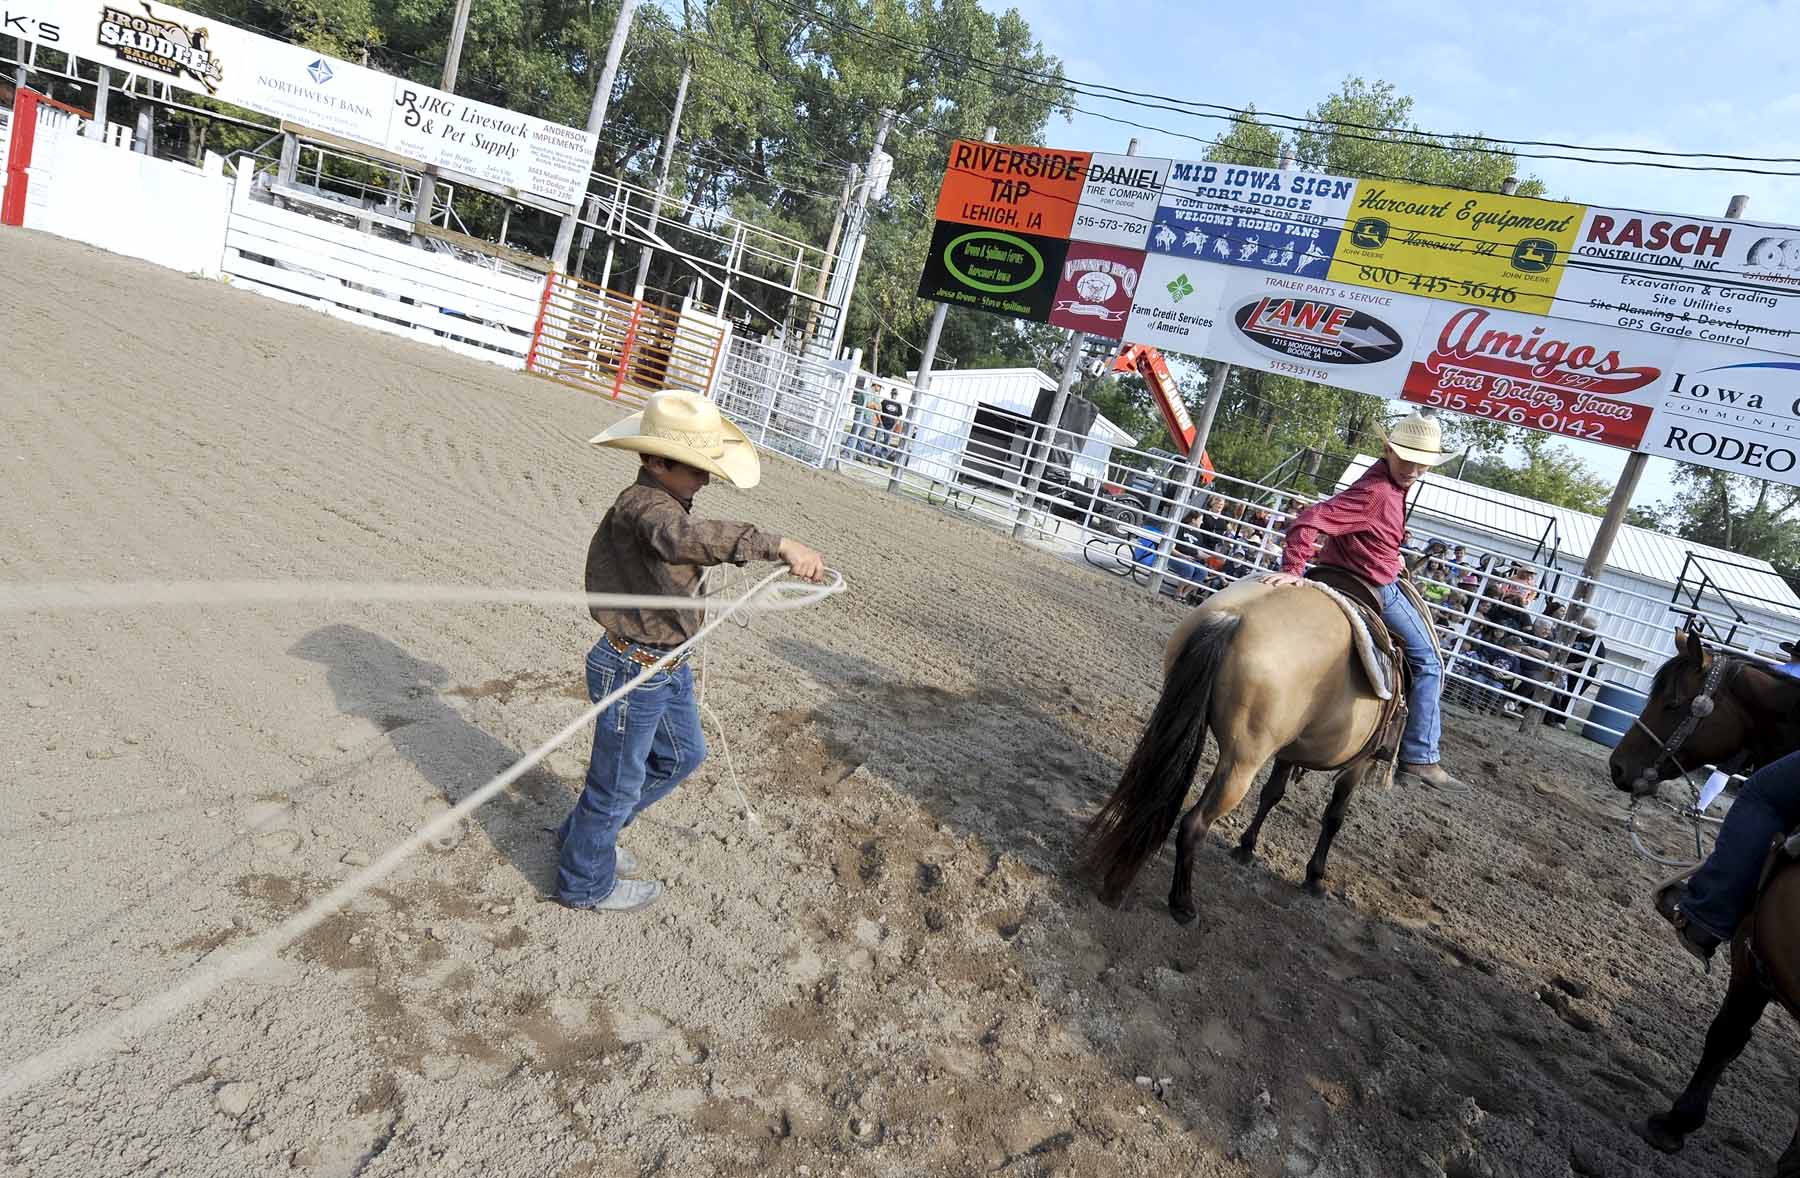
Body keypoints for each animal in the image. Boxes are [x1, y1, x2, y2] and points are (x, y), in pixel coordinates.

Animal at [1084, 577, 1400, 922]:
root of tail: (1233, 617)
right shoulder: (1357, 764)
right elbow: (1334, 816)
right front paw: (1314, 878)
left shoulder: (1287, 752)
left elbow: (1272, 793)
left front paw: (1247, 847)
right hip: (1240, 765)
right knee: (1194, 825)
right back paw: (1183, 904)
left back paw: (1115, 884)